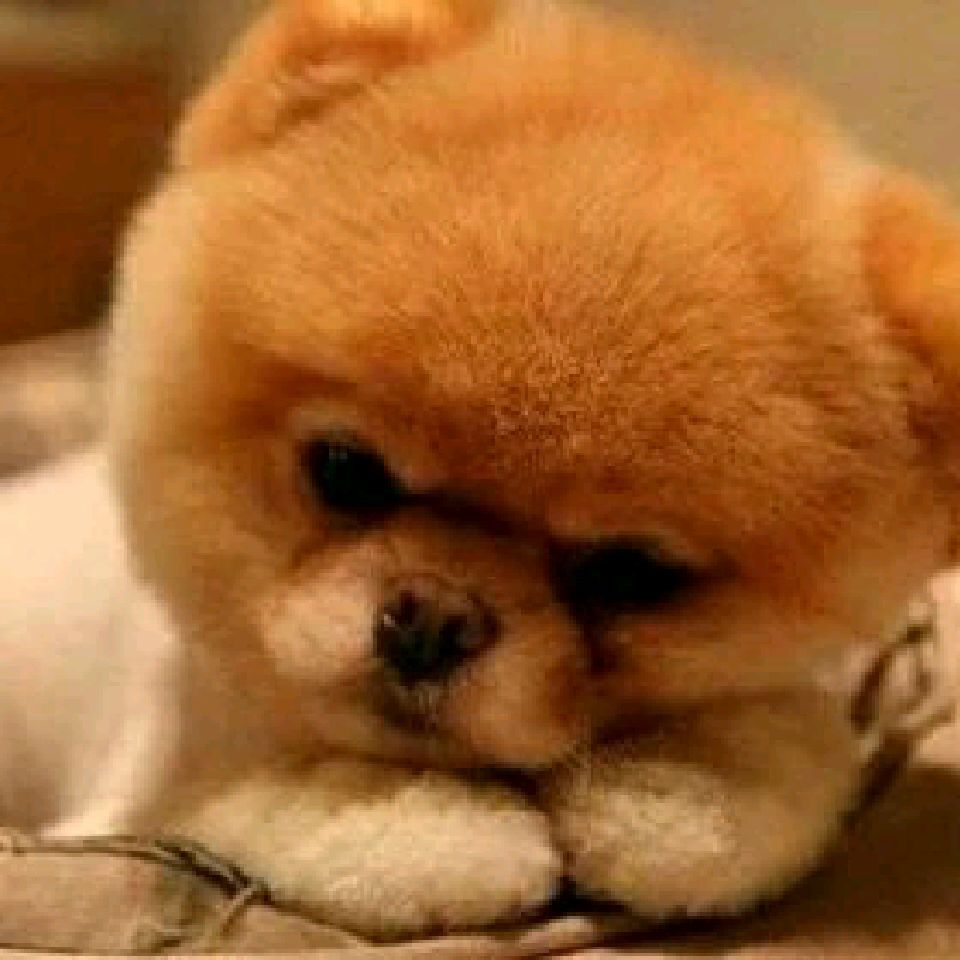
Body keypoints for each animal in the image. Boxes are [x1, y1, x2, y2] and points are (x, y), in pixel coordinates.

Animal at [2, 0, 959, 939]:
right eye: (345, 471)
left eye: (629, 572)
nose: (432, 615)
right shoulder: (136, 792)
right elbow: (249, 795)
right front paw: (430, 831)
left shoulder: (798, 697)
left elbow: (788, 750)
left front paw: (673, 794)